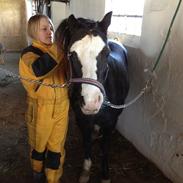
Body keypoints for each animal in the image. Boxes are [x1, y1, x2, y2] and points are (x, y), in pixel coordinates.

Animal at [55, 11, 129, 183]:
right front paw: (86, 171)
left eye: (106, 53)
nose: (90, 103)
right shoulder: (82, 120)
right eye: (71, 54)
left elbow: (105, 148)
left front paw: (105, 175)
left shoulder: (110, 123)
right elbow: (87, 143)